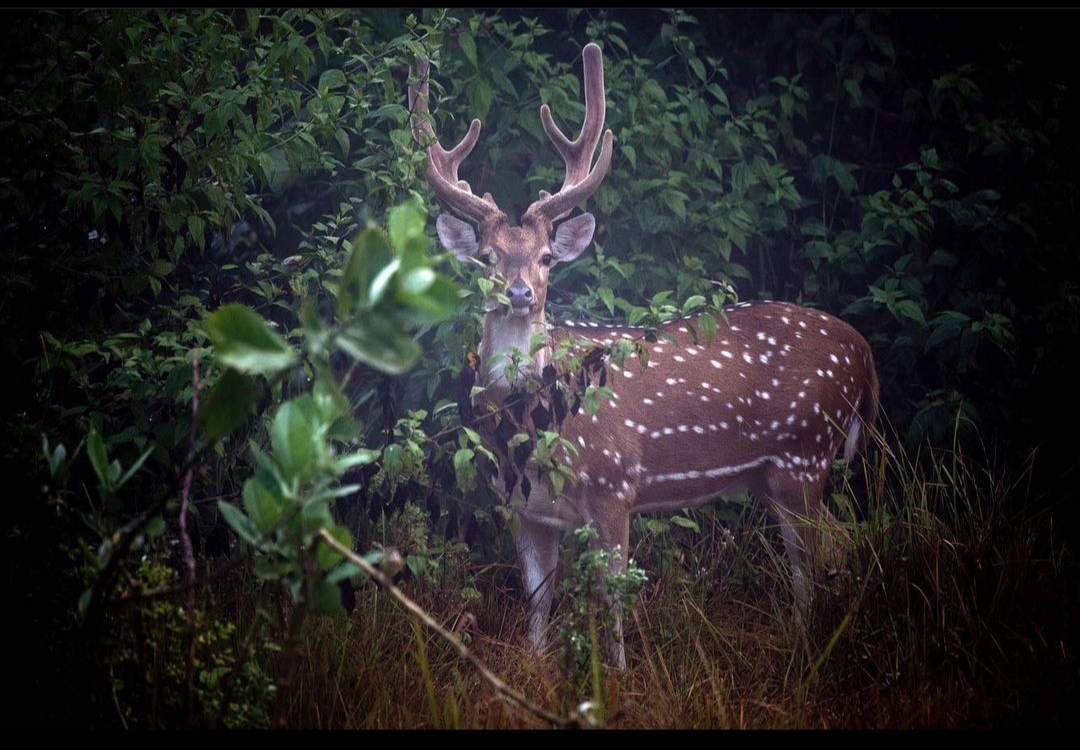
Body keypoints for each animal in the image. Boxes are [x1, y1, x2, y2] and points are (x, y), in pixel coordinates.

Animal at [406, 42, 876, 670]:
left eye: (547, 257)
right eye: (487, 257)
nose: (521, 293)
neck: (534, 425)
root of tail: (862, 349)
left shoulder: (615, 483)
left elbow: (612, 595)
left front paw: (619, 676)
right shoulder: (524, 507)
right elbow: (537, 594)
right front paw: (534, 667)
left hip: (805, 452)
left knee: (818, 557)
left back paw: (808, 651)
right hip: (771, 472)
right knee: (839, 545)